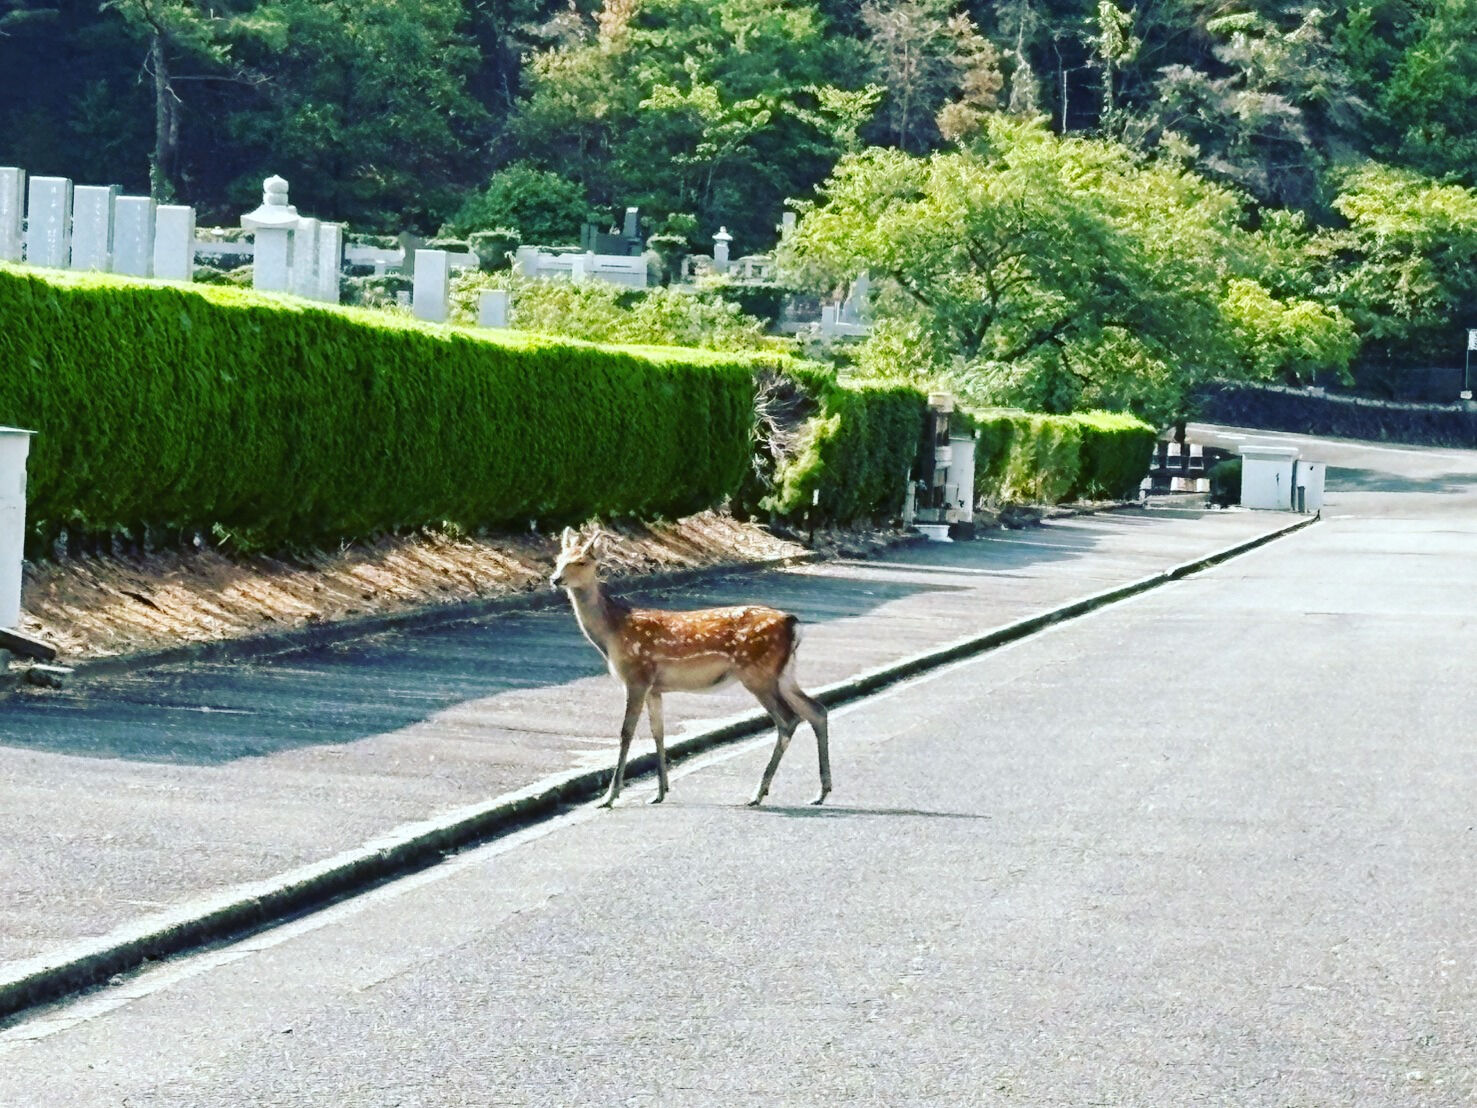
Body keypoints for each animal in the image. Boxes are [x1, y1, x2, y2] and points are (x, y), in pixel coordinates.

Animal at [550, 526, 830, 809]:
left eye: (581, 561)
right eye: (559, 559)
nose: (555, 579)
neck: (612, 632)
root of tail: (794, 624)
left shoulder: (637, 675)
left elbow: (626, 732)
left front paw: (610, 796)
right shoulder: (655, 687)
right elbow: (658, 732)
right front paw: (660, 792)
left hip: (758, 673)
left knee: (788, 719)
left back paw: (758, 793)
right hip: (784, 674)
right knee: (817, 710)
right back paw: (820, 792)